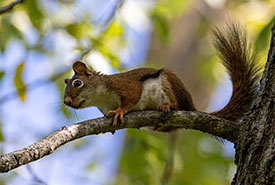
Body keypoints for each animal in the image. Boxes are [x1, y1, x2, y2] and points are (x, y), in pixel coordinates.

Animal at [64, 23, 260, 129]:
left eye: (77, 83)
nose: (66, 102)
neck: (101, 98)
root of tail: (193, 107)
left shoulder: (123, 84)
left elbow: (131, 97)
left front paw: (119, 110)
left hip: (168, 82)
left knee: (179, 105)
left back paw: (169, 106)